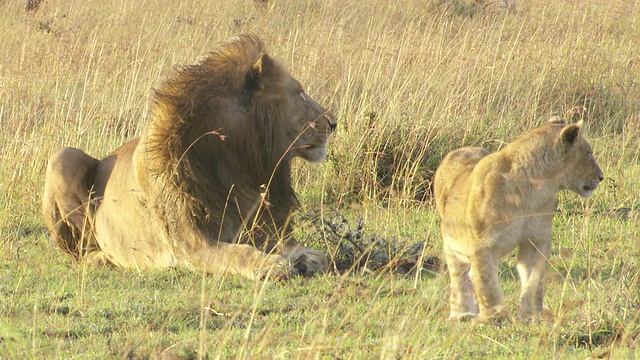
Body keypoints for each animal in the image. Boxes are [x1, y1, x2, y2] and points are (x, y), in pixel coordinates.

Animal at [42, 33, 338, 282]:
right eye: (300, 94)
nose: (334, 122)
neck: (242, 161)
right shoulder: (192, 245)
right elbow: (238, 253)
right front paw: (271, 266)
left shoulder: (257, 225)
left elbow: (284, 244)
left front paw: (305, 255)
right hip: (63, 156)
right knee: (80, 250)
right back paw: (101, 258)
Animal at [432, 119, 604, 324]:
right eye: (589, 153)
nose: (601, 177)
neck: (533, 188)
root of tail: (458, 150)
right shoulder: (482, 245)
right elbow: (486, 282)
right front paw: (494, 317)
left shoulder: (536, 240)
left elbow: (533, 279)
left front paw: (531, 315)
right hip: (451, 242)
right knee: (460, 277)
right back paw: (462, 313)